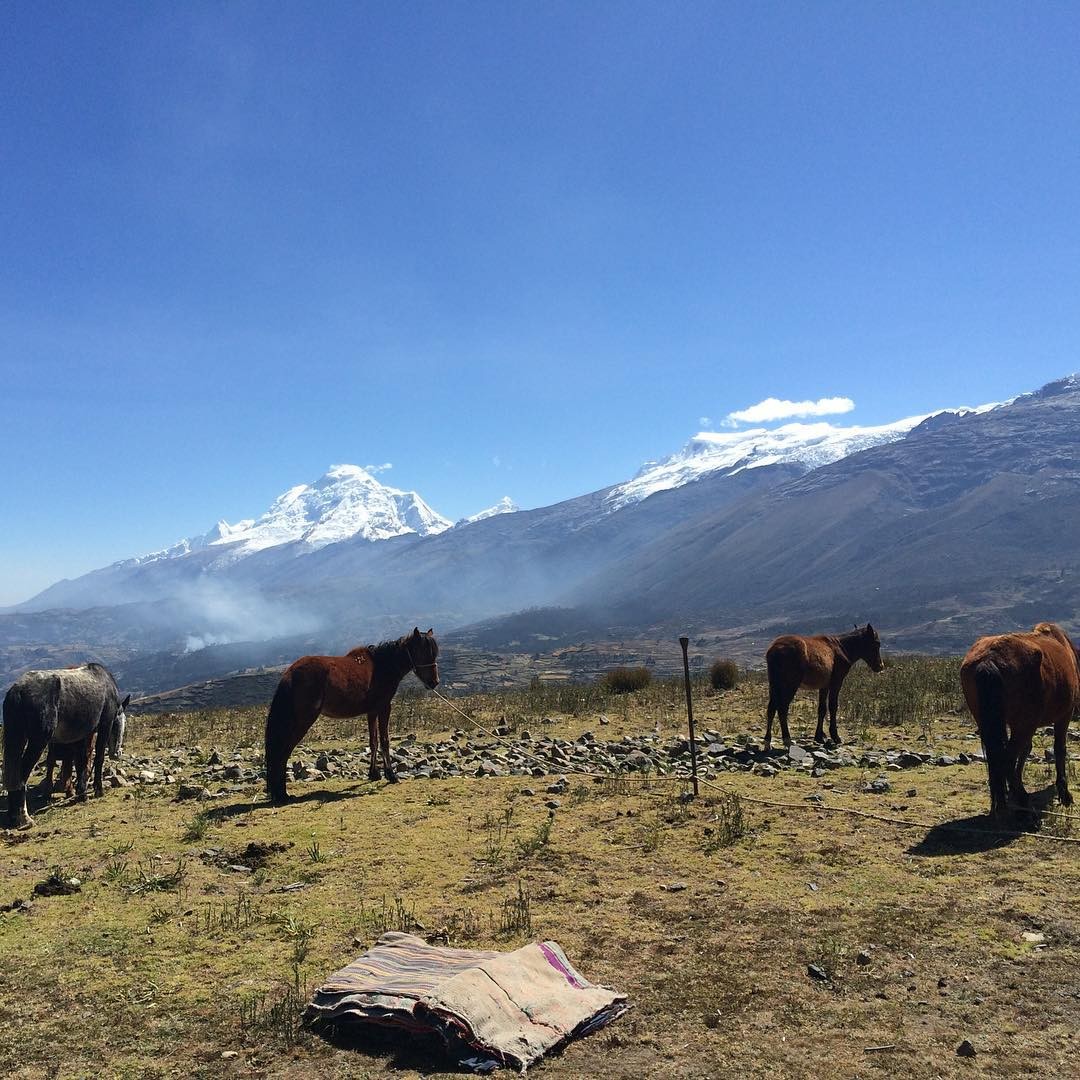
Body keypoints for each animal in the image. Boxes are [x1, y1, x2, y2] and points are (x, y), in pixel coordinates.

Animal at [264, 626, 438, 803]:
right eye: (422, 652)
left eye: (435, 653)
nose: (434, 683)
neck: (382, 666)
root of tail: (290, 673)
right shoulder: (384, 708)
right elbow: (385, 741)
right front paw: (391, 775)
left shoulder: (372, 711)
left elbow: (373, 742)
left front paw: (374, 774)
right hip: (303, 721)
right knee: (282, 753)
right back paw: (282, 795)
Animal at [959, 622, 1075, 812]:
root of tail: (989, 659)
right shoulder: (1064, 715)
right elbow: (1059, 750)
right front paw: (1064, 793)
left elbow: (1025, 750)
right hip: (1024, 724)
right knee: (1006, 758)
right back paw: (1022, 800)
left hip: (992, 723)